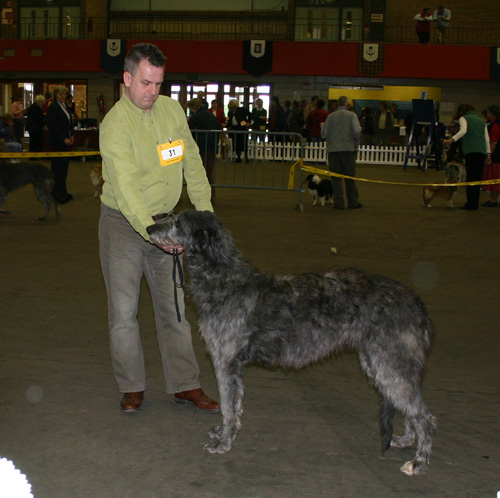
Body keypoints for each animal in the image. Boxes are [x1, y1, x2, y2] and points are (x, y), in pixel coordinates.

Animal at [146, 209, 436, 474]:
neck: (226, 280)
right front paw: (222, 433)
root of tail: (416, 303)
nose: (149, 228)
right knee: (410, 409)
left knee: (425, 417)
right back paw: (406, 440)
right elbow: (233, 405)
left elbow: (228, 406)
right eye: (172, 216)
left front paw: (223, 442)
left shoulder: (226, 362)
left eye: (177, 222)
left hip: (390, 364)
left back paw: (420, 461)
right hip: (380, 364)